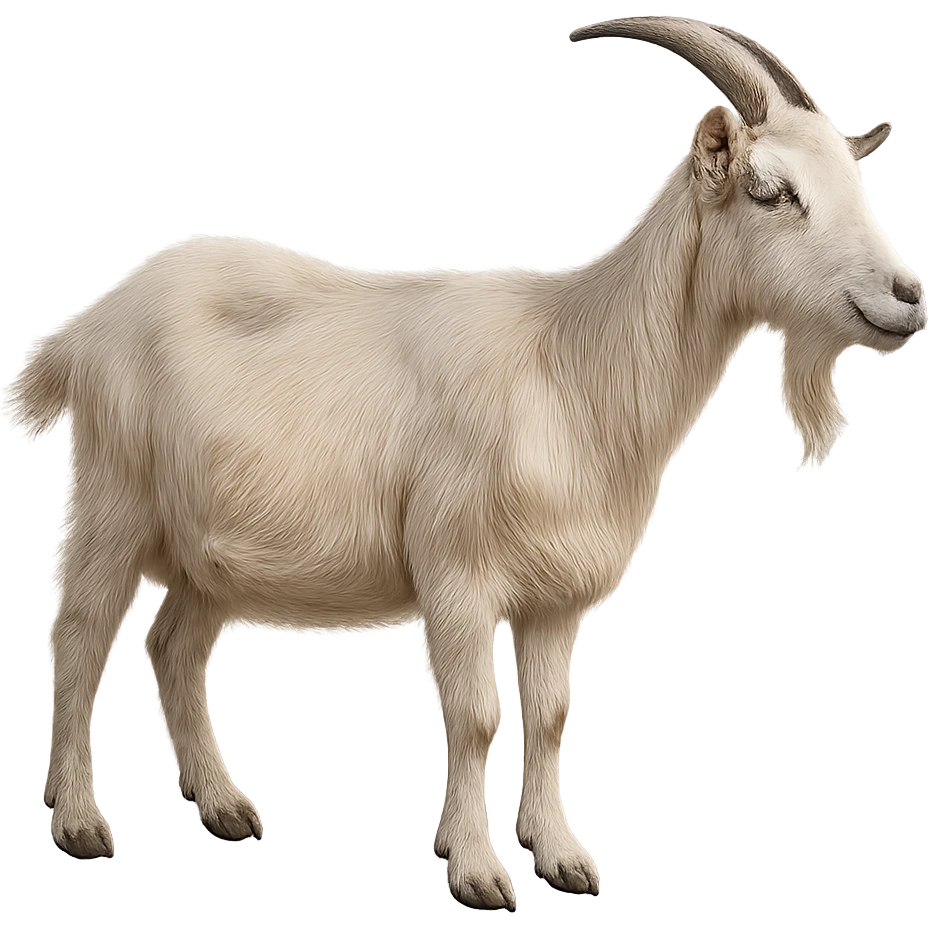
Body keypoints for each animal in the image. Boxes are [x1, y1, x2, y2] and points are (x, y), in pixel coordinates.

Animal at [5, 14, 924, 911]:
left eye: (859, 184)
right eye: (771, 191)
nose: (907, 295)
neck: (571, 366)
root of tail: (84, 324)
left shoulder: (557, 596)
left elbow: (549, 717)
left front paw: (561, 857)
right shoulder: (457, 569)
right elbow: (474, 716)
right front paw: (477, 872)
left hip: (210, 549)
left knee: (175, 647)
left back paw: (226, 805)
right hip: (111, 498)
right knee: (80, 640)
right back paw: (80, 822)